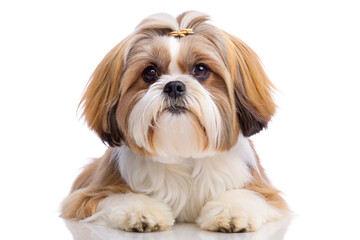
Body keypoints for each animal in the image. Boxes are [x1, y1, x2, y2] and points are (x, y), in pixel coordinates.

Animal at [61, 10, 286, 232]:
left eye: (201, 69)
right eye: (150, 72)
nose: (174, 86)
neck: (183, 152)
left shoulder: (263, 189)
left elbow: (250, 195)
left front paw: (232, 212)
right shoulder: (89, 195)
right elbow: (119, 197)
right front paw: (142, 212)